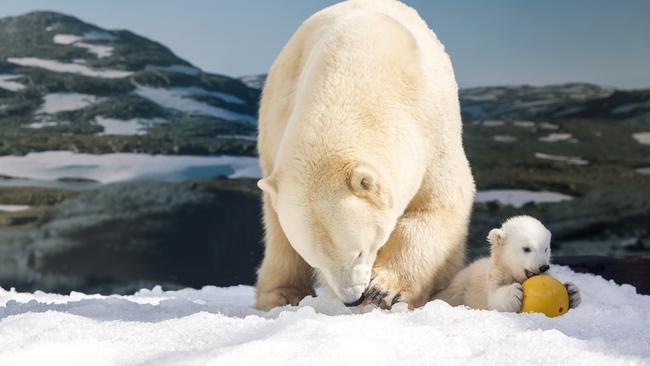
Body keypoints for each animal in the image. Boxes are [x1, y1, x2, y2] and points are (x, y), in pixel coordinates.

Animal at [256, 0, 474, 310]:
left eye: (359, 252)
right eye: (318, 261)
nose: (352, 299)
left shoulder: (432, 127)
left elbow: (438, 203)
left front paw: (385, 290)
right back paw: (281, 294)